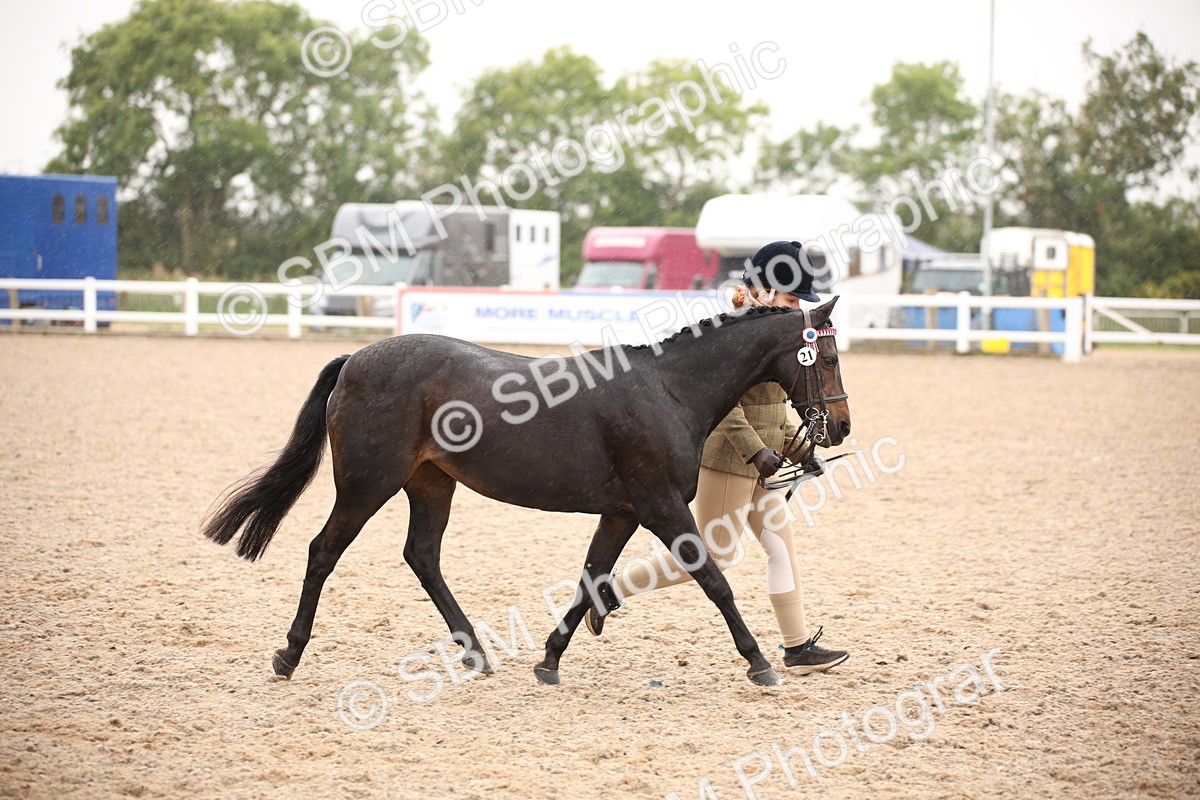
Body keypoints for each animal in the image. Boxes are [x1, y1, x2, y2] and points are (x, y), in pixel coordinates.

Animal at [201, 298, 850, 686]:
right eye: (827, 355)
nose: (840, 427)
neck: (668, 390)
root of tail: (357, 357)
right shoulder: (662, 506)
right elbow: (713, 580)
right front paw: (760, 662)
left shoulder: (622, 512)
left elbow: (591, 577)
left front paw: (549, 659)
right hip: (367, 485)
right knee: (323, 552)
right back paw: (289, 654)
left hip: (430, 483)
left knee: (422, 556)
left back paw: (475, 652)